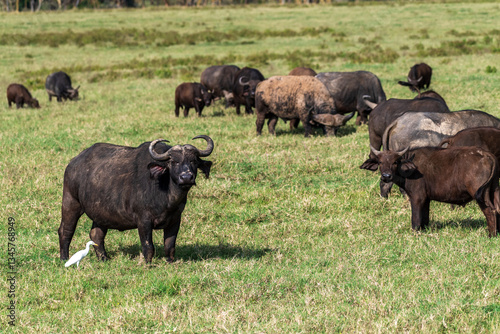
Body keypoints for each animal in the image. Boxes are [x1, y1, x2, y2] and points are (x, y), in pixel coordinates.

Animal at [57, 134, 214, 262]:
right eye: (173, 162)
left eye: (193, 161)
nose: (186, 177)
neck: (167, 197)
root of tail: (73, 163)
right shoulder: (143, 221)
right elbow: (148, 246)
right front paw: (148, 263)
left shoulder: (175, 220)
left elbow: (170, 245)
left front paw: (170, 261)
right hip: (71, 202)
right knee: (65, 230)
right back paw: (65, 258)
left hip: (101, 213)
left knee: (96, 234)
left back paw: (104, 258)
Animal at [360, 147, 500, 237]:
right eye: (380, 162)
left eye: (395, 162)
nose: (386, 176)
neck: (410, 170)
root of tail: (488, 155)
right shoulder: (426, 199)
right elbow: (425, 217)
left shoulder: (417, 198)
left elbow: (416, 218)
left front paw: (415, 233)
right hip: (495, 190)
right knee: (497, 209)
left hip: (480, 194)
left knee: (490, 211)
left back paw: (491, 235)